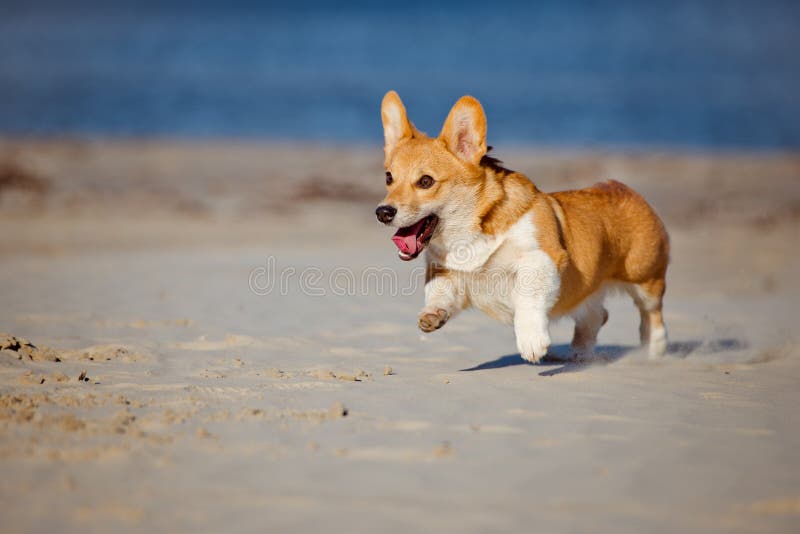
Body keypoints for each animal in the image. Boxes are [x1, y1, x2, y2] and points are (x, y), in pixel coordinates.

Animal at [376, 92, 668, 362]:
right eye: (389, 178)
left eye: (425, 181)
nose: (382, 213)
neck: (470, 231)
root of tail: (628, 191)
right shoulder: (447, 273)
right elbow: (439, 294)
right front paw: (432, 315)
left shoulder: (541, 258)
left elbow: (527, 297)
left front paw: (531, 341)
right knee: (597, 315)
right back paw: (581, 354)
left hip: (645, 279)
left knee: (652, 315)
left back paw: (652, 351)